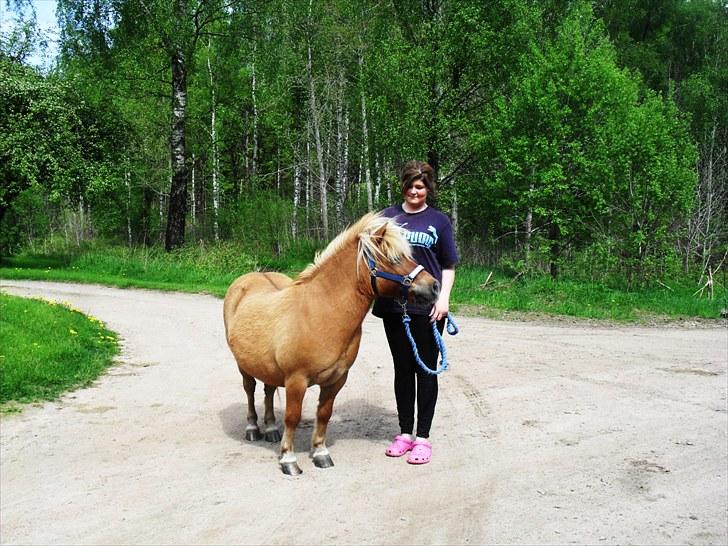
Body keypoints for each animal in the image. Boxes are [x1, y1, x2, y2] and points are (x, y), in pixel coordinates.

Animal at [222, 212, 438, 472]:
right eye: (395, 258)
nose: (434, 286)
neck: (321, 312)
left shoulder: (336, 379)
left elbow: (324, 414)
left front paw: (320, 453)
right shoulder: (296, 380)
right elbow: (292, 417)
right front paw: (288, 459)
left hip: (268, 367)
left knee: (268, 390)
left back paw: (272, 429)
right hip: (243, 366)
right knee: (250, 391)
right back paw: (253, 428)